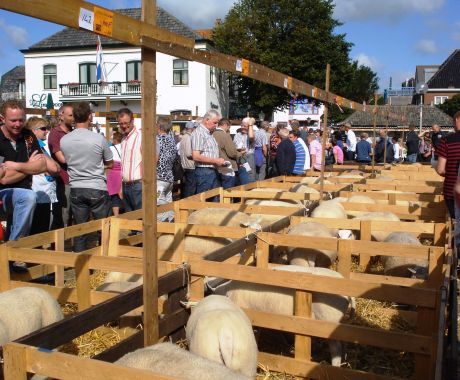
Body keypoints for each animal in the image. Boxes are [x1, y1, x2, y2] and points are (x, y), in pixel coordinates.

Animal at [219, 266, 352, 366]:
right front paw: (285, 344)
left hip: (328, 320)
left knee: (336, 348)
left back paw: (335, 364)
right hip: (338, 322)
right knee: (344, 341)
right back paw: (344, 360)